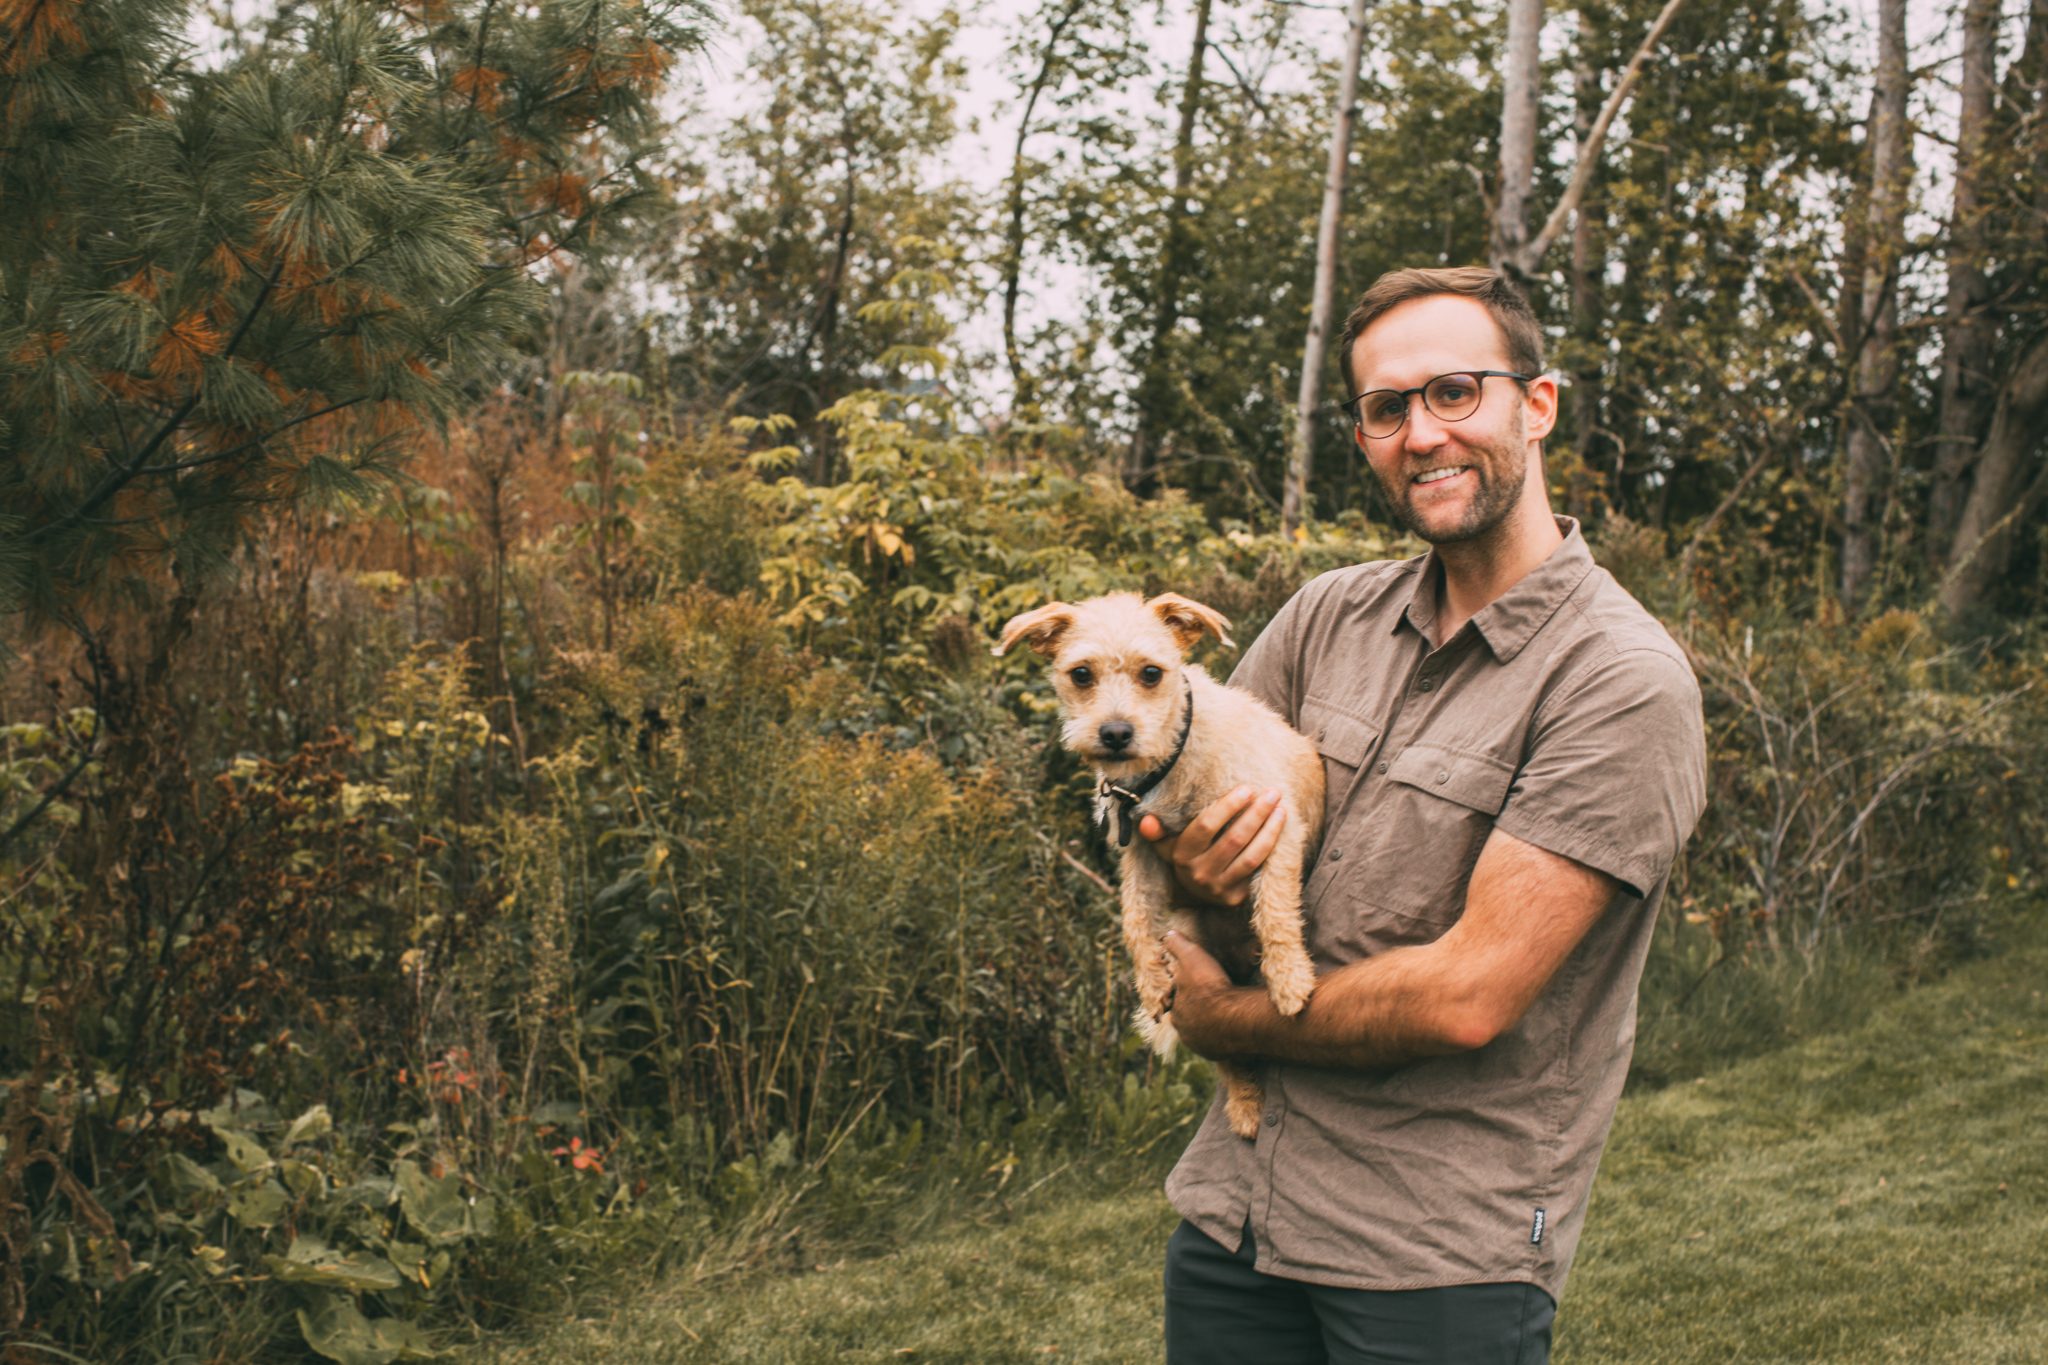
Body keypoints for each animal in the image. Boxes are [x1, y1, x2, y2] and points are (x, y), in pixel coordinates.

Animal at [995, 593, 1327, 1137]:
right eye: (1081, 674)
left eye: (1151, 673)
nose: (1115, 732)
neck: (1173, 760)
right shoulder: (1141, 854)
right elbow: (1134, 920)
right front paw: (1149, 982)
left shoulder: (1275, 826)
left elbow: (1276, 912)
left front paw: (1289, 979)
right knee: (1225, 1047)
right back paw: (1245, 1107)